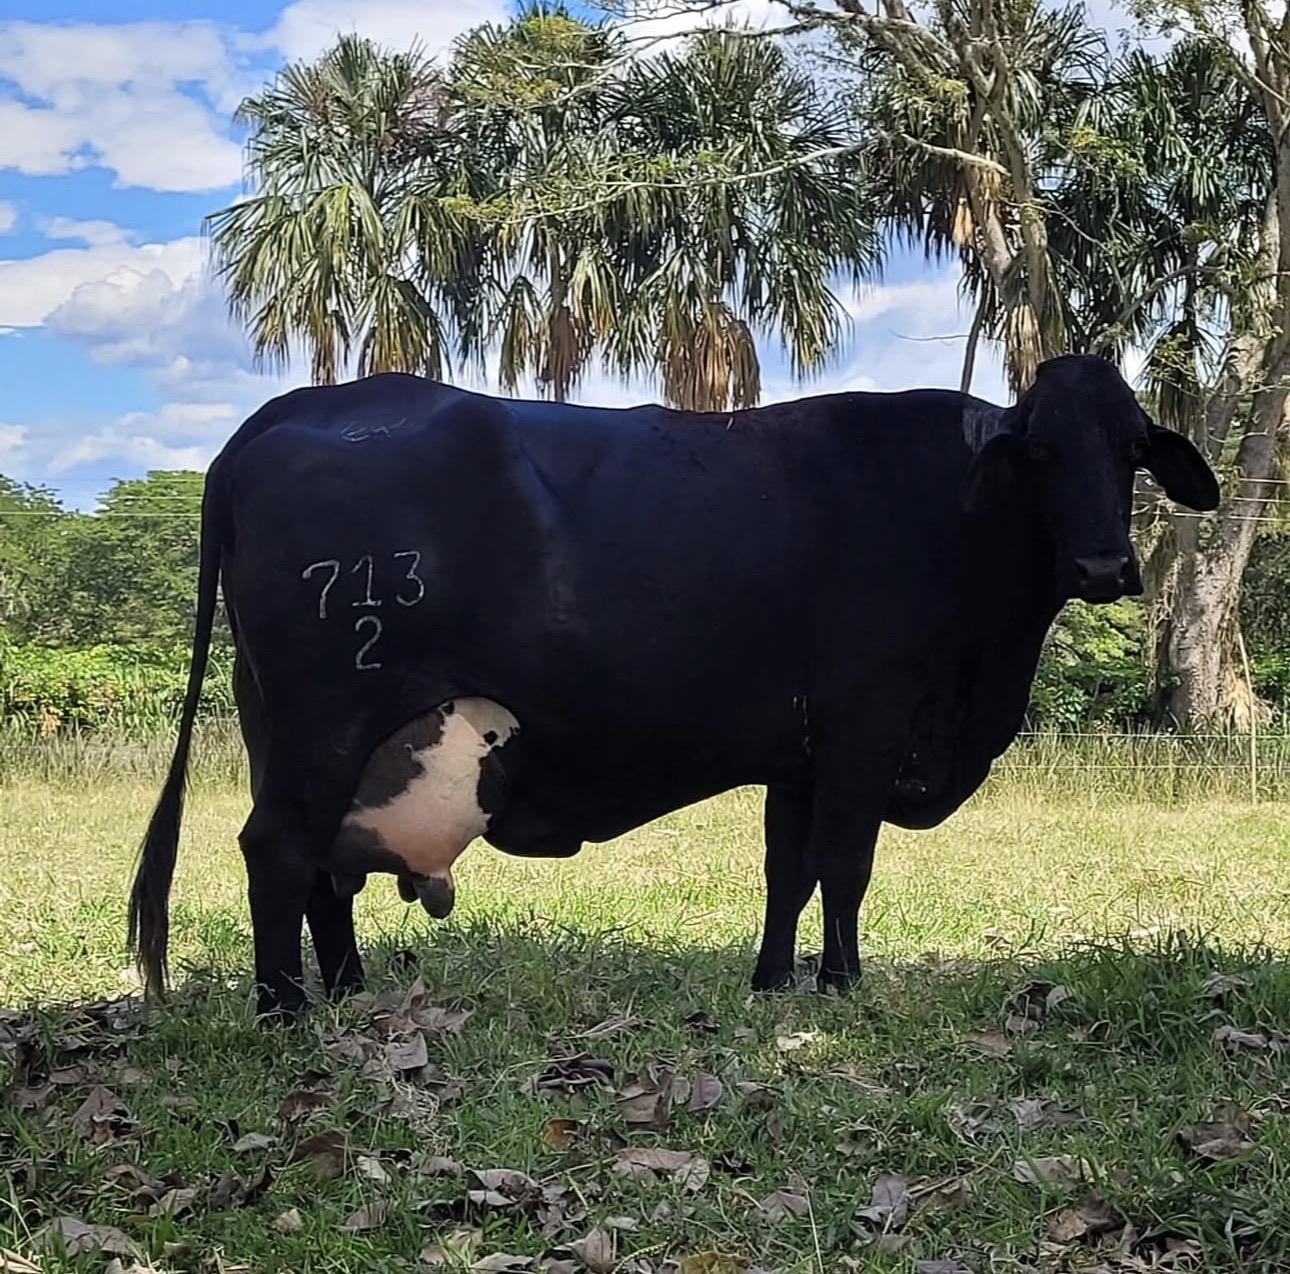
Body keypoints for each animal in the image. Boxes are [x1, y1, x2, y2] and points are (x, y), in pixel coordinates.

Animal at [127, 354, 1219, 1019]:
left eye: (1132, 448)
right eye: (1041, 449)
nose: (1106, 565)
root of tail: (291, 409)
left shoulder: (799, 754)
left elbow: (789, 870)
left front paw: (773, 982)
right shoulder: (864, 728)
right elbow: (846, 866)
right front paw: (842, 986)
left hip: (291, 729)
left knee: (324, 867)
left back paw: (349, 990)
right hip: (325, 718)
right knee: (279, 851)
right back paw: (285, 1007)